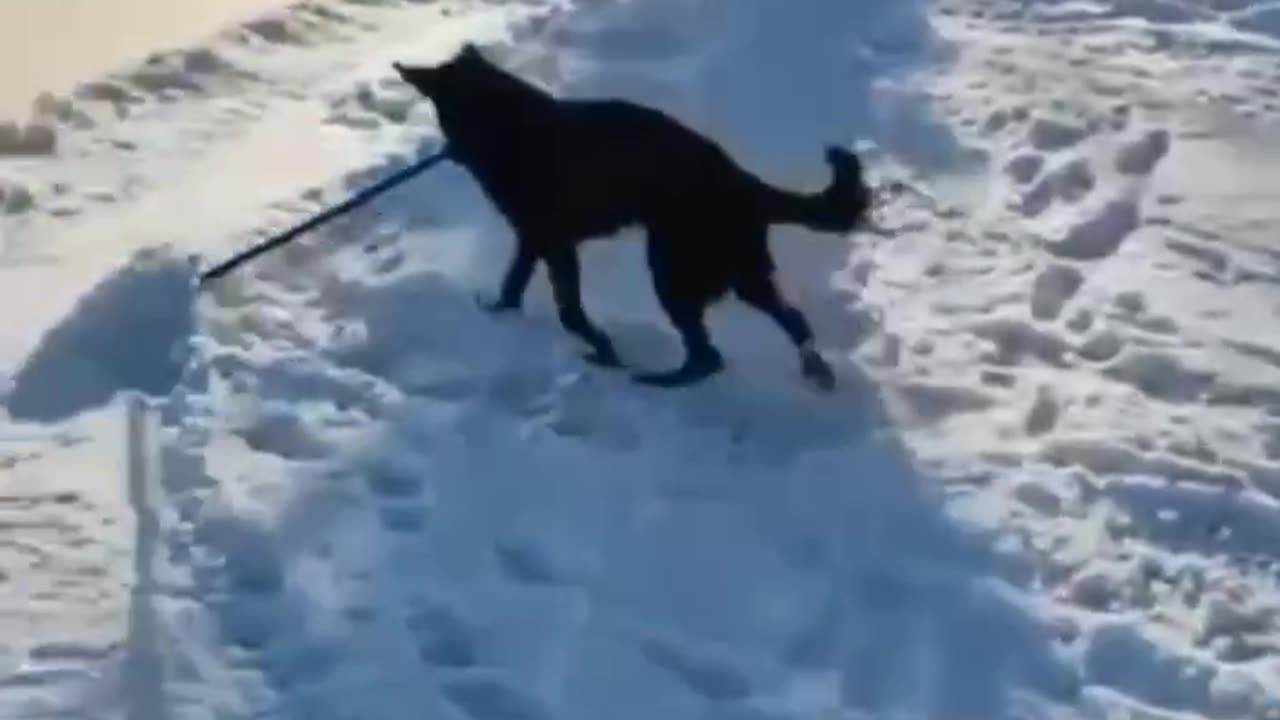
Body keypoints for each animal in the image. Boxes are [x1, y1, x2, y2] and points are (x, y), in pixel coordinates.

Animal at [391, 44, 870, 389]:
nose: (450, 151)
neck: (502, 121)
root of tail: (743, 180)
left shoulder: (555, 243)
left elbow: (569, 311)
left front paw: (604, 350)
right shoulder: (534, 239)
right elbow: (514, 284)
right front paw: (501, 313)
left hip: (674, 270)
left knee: (708, 356)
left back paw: (657, 381)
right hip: (736, 270)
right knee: (787, 320)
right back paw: (815, 369)